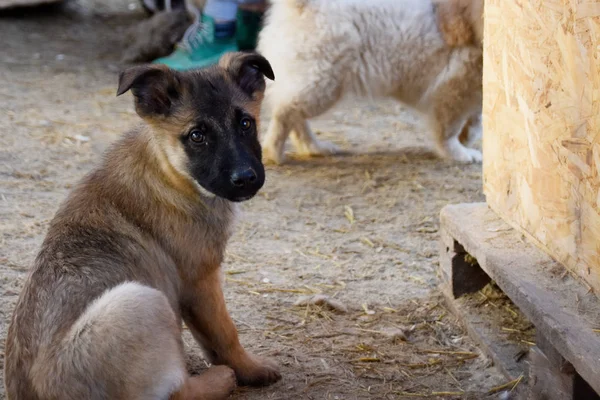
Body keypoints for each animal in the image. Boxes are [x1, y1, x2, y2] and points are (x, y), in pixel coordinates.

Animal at [3, 51, 278, 400]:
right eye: (197, 136)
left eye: (245, 124)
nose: (245, 178)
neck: (169, 173)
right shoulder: (200, 279)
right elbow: (225, 334)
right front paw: (250, 369)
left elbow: (212, 340)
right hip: (140, 300)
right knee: (177, 391)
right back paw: (220, 379)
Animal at [256, 0, 482, 164]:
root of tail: (304, 5)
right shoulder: (452, 91)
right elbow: (448, 131)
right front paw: (459, 154)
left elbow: (475, 121)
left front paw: (467, 138)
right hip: (321, 84)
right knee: (285, 111)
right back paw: (274, 153)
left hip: (311, 83)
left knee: (294, 114)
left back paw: (314, 148)